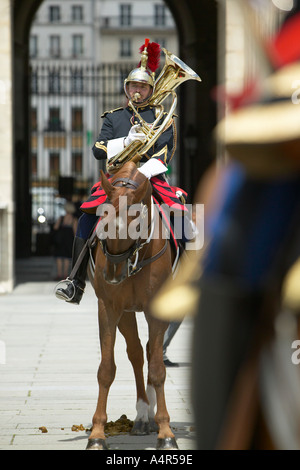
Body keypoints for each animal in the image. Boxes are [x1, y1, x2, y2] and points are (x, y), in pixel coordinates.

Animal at [85, 162, 178, 452]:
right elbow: (106, 370)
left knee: (149, 352)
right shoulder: (109, 308)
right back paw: (142, 416)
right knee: (137, 353)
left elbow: (158, 369)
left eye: (135, 223)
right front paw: (97, 434)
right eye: (101, 221)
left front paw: (166, 432)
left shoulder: (157, 310)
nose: (113, 275)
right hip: (126, 314)